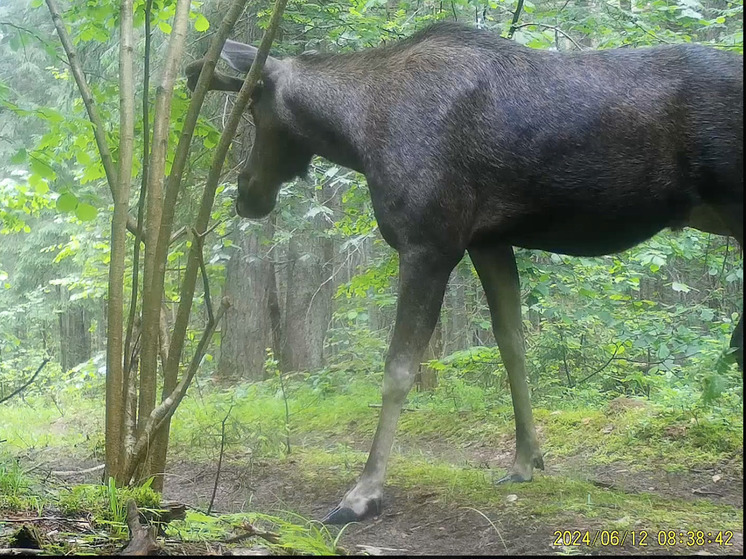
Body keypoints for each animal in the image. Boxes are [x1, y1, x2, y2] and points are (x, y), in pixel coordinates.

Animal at [185, 23, 740, 524]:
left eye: (253, 109)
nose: (246, 192)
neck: (359, 133)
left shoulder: (429, 243)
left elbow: (398, 372)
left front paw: (362, 493)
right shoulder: (487, 241)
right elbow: (512, 345)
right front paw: (525, 461)